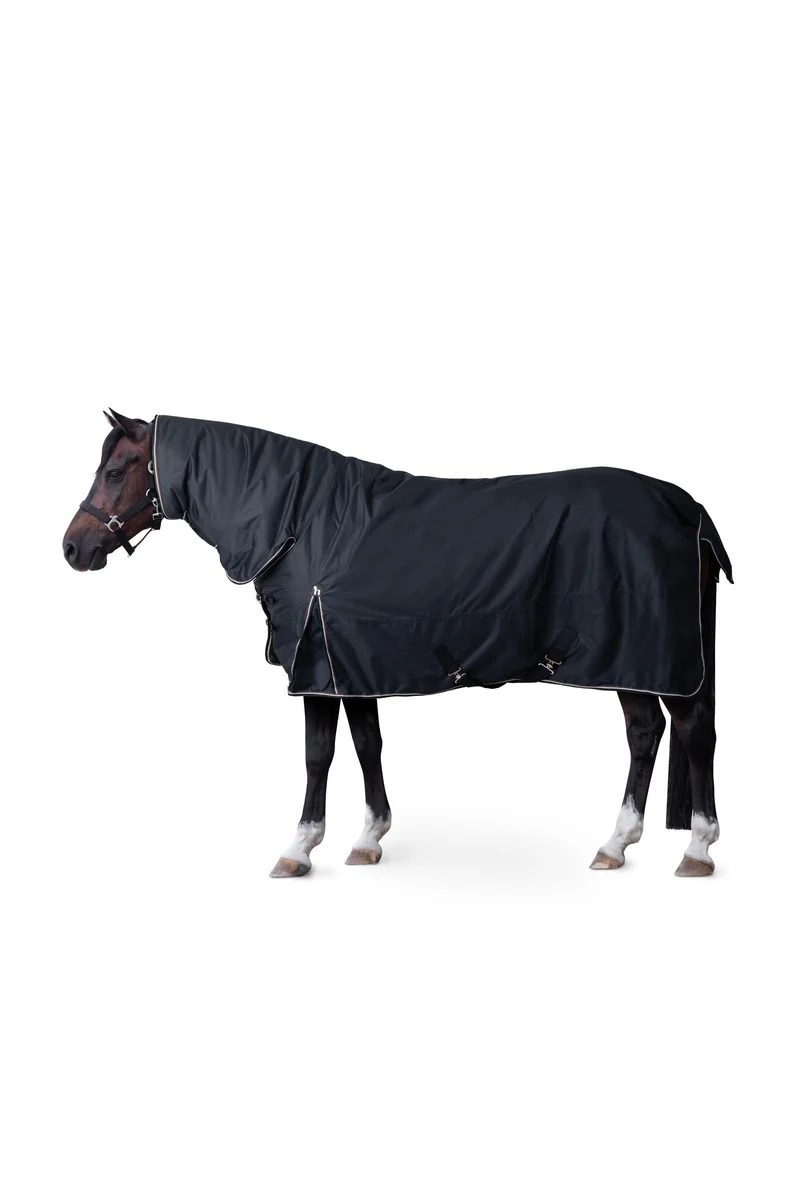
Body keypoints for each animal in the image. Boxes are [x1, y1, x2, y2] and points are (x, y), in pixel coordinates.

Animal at [63, 409, 731, 878]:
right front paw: (368, 839)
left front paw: (299, 848)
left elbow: (319, 753)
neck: (304, 522)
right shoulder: (350, 664)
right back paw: (617, 844)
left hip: (651, 656)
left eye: (116, 471)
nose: (73, 548)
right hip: (633, 662)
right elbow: (367, 746)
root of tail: (687, 506)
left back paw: (696, 848)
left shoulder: (316, 669)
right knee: (646, 733)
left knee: (691, 732)